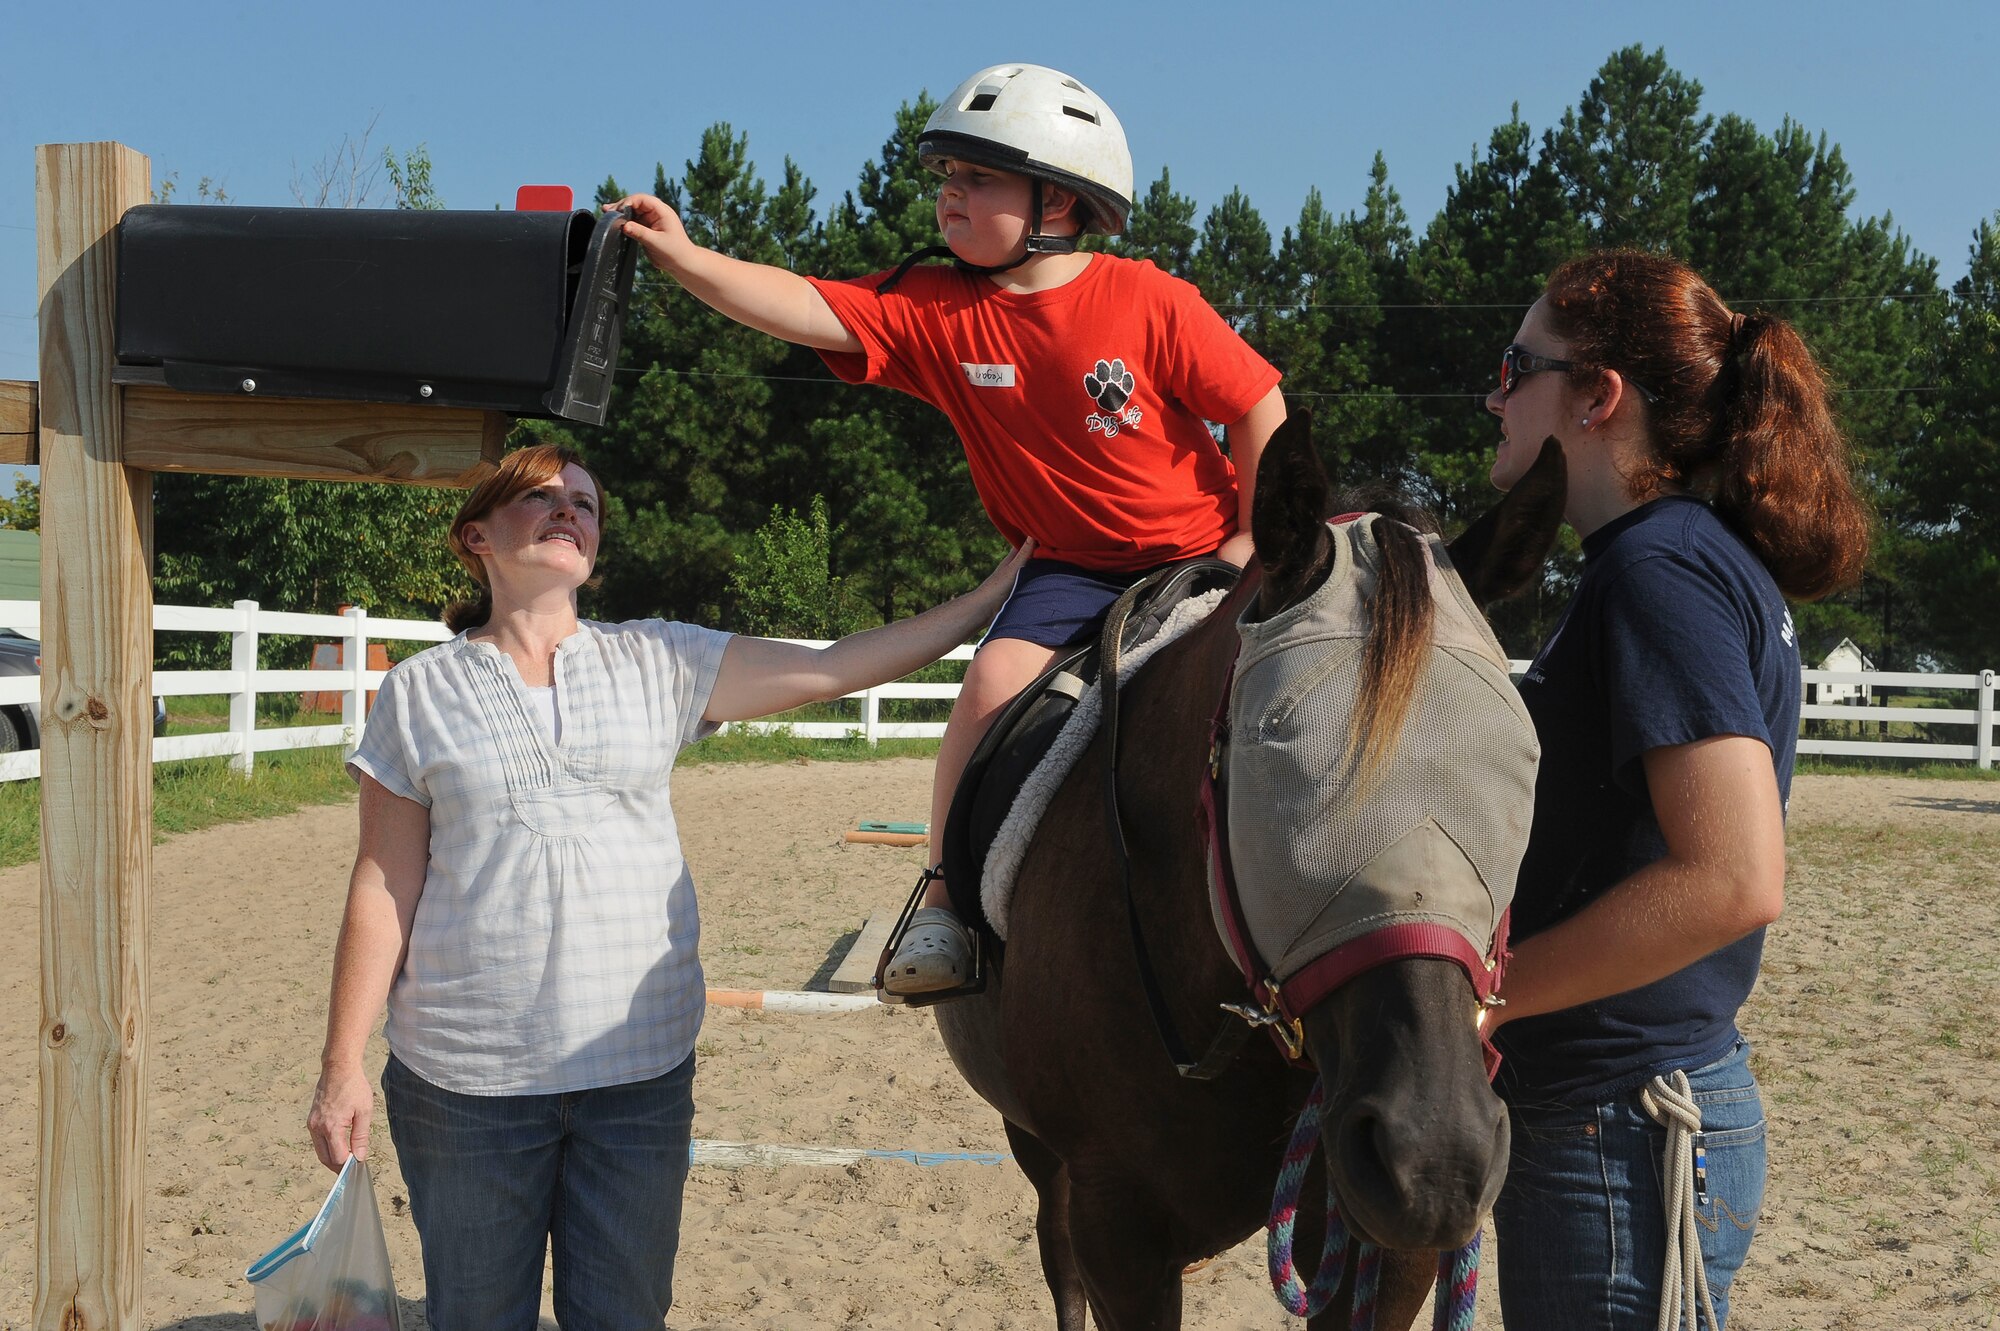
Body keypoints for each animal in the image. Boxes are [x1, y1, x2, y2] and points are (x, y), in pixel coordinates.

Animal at [928, 409, 1568, 1319]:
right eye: (1283, 762)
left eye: (1519, 761)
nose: (1435, 1154)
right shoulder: (1116, 1225)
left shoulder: (1386, 1250)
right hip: (1037, 1150)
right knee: (1057, 1260)